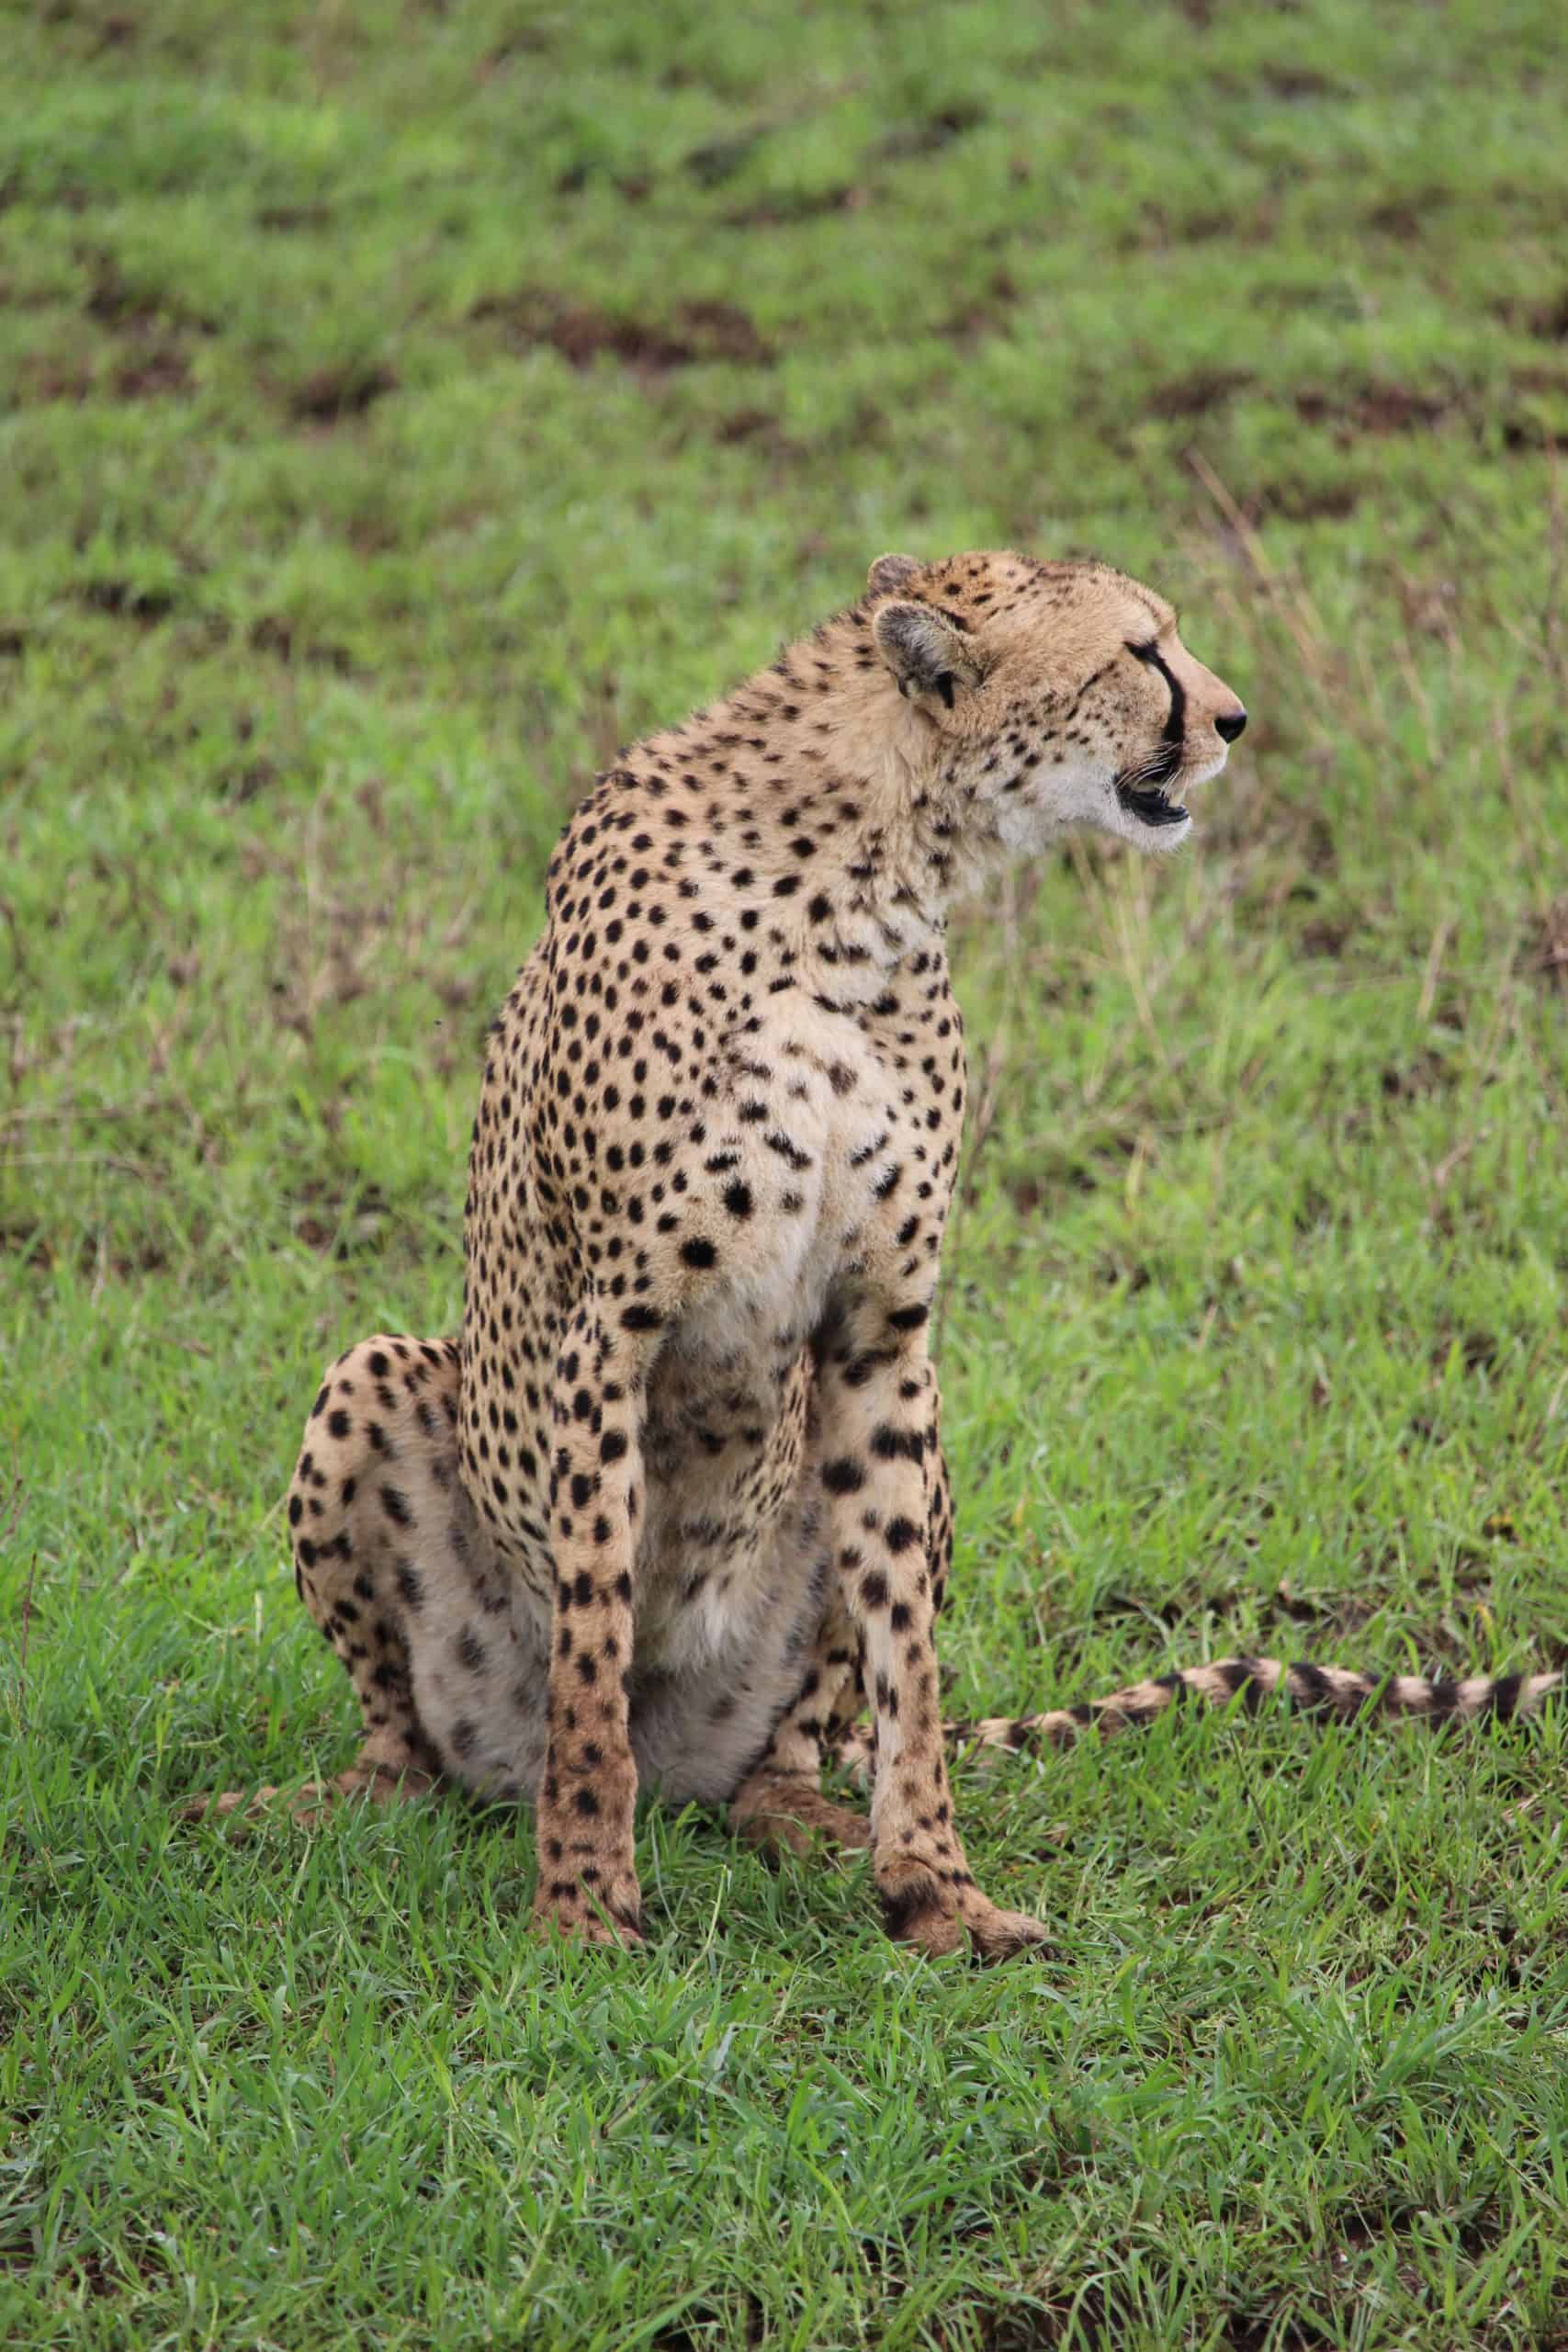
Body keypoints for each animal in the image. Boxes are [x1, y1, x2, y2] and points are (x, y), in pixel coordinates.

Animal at [191, 551, 1562, 1956]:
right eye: (1139, 651)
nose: (1234, 719)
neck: (864, 883)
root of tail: (681, 1765)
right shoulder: (610, 1326)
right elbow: (590, 1642)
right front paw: (580, 1903)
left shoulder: (882, 1331)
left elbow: (905, 1645)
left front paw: (935, 1886)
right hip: (373, 1382)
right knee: (419, 1747)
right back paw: (340, 1801)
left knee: (786, 1753)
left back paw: (803, 1815)